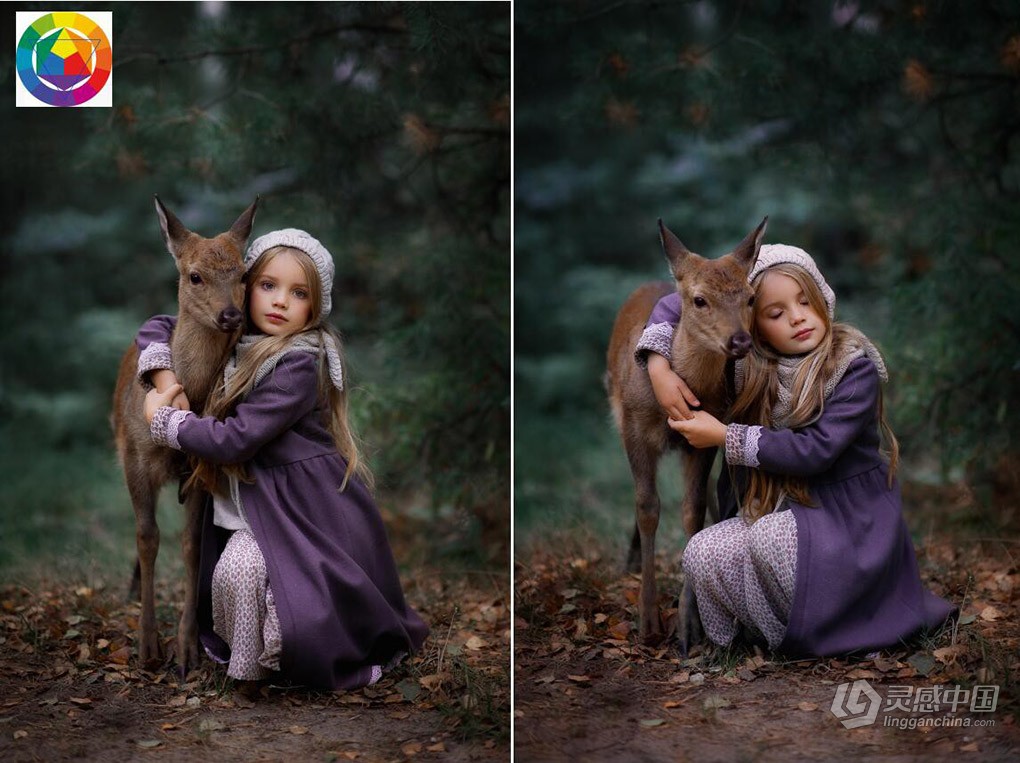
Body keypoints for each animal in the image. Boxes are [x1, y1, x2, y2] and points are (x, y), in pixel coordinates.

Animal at [111, 196, 259, 673]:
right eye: (195, 275)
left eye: (244, 273)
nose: (231, 314)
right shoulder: (135, 458)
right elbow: (147, 536)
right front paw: (147, 646)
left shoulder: (197, 470)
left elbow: (191, 544)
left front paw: (188, 647)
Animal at [603, 216, 767, 656]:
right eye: (699, 300)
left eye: (750, 297)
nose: (740, 340)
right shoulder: (634, 428)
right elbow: (647, 507)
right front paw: (647, 622)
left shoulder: (703, 435)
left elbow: (691, 511)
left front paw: (689, 626)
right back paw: (630, 563)